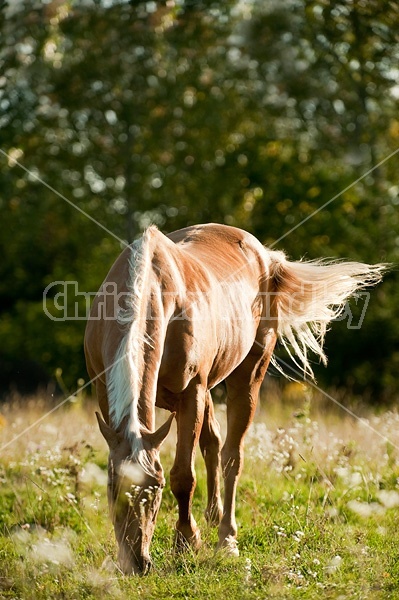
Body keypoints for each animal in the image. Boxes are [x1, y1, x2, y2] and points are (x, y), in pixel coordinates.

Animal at [83, 223, 384, 576]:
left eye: (155, 490)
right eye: (113, 491)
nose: (137, 563)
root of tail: (266, 256)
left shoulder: (192, 392)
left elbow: (184, 476)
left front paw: (187, 541)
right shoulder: (106, 396)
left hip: (247, 376)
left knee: (231, 455)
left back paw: (226, 538)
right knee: (212, 441)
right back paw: (213, 517)